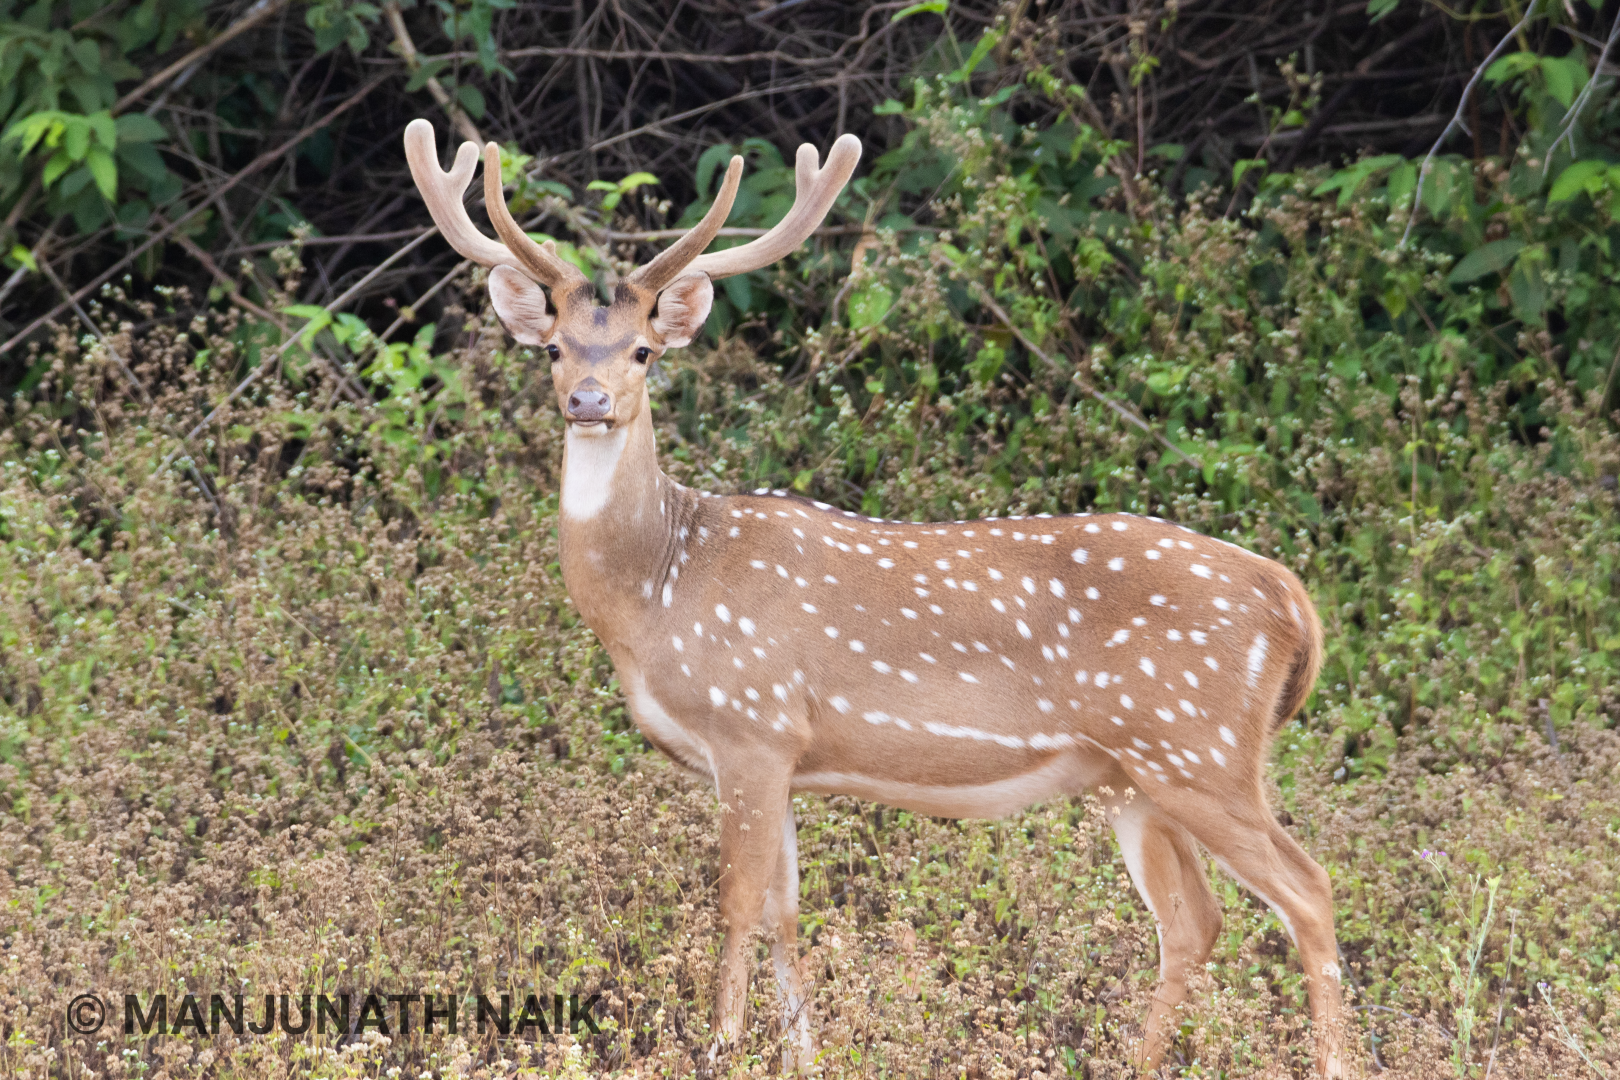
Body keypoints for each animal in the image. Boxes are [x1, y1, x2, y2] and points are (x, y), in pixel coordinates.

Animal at [408, 114, 1354, 1075]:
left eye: (645, 350)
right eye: (554, 348)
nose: (591, 400)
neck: (658, 591)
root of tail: (1289, 597)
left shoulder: (751, 725)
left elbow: (736, 907)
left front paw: (720, 1048)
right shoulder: (783, 757)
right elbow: (787, 914)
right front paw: (803, 1057)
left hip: (1196, 743)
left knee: (1308, 889)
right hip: (1131, 774)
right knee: (1194, 919)